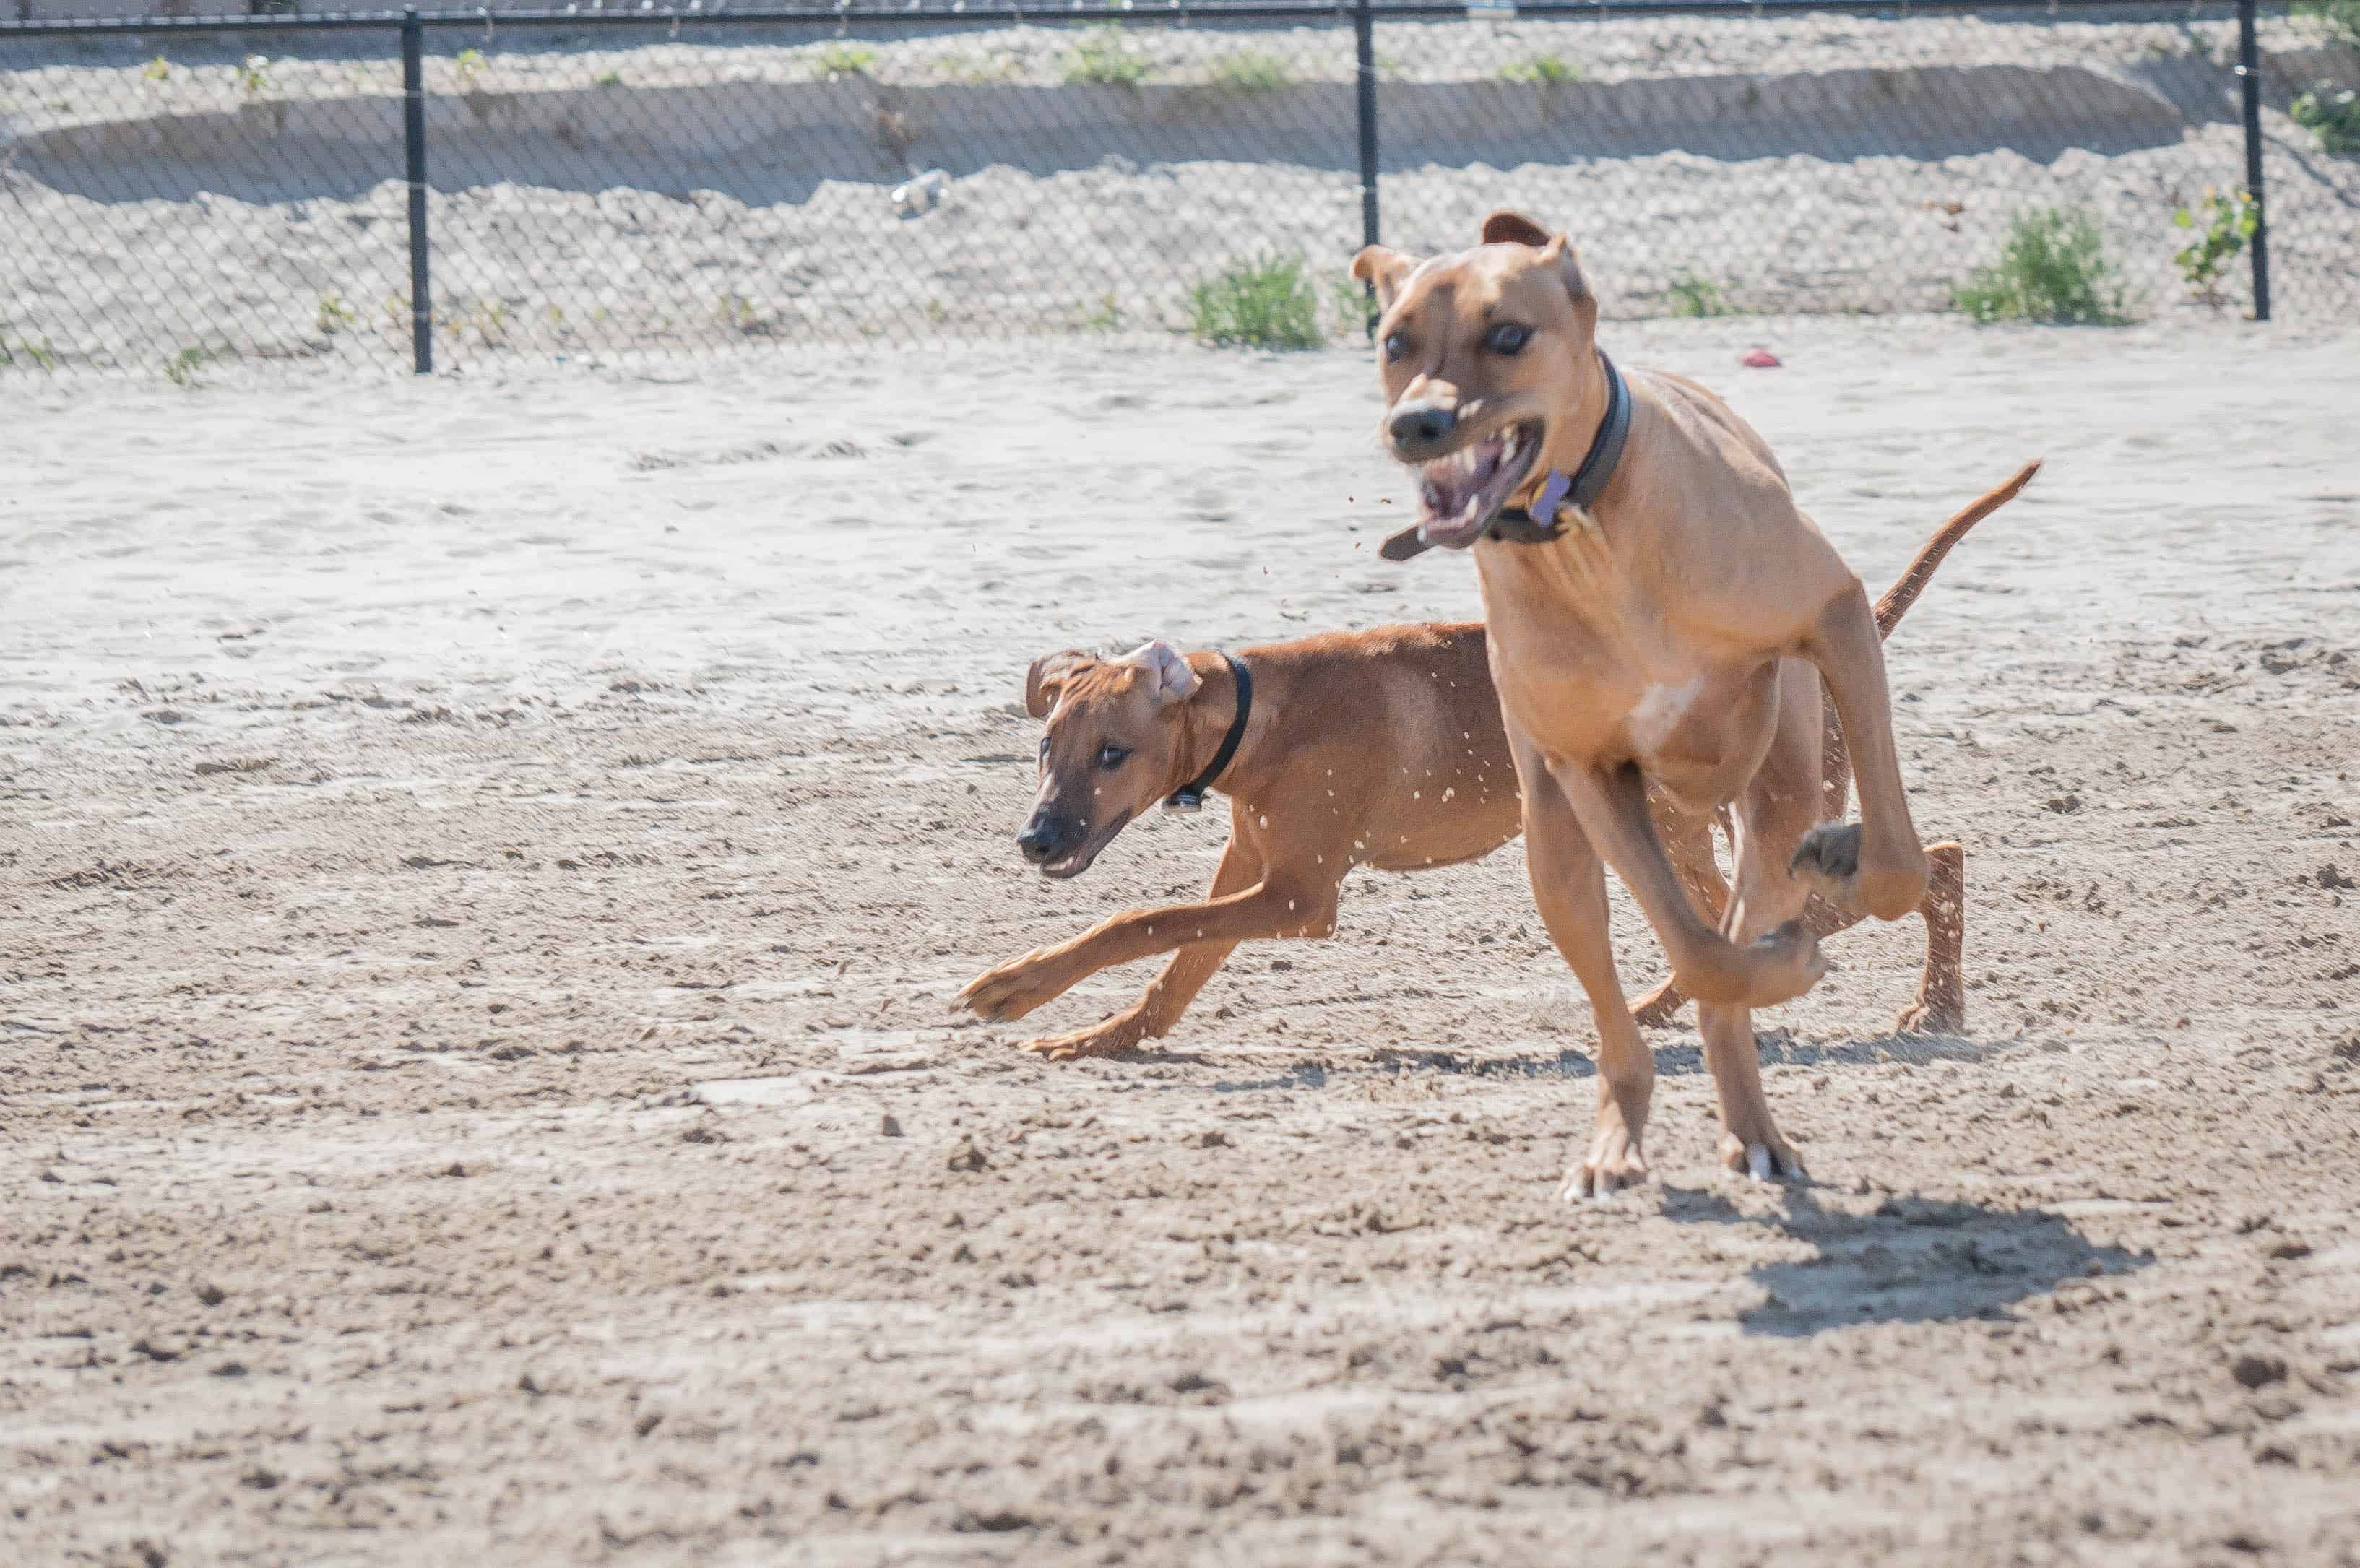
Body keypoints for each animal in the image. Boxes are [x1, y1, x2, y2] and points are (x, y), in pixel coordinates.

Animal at [953, 459, 2029, 1070]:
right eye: (1045, 746)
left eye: (1113, 753)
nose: (1035, 838)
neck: (1264, 712)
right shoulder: (1249, 869)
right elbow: (1175, 967)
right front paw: (1103, 1035)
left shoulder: (1299, 896)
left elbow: (1136, 919)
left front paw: (1014, 984)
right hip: (1683, 824)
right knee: (1843, 888)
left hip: (1728, 816)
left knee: (1898, 874)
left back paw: (1908, 996)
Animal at [1359, 207, 2039, 1197]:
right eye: (1395, 340)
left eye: (1509, 334)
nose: (1418, 422)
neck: (1590, 534)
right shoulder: (1590, 769)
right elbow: (1702, 950)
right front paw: (1773, 968)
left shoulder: (1837, 618)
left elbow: (1895, 862)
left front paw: (1850, 873)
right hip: (1562, 839)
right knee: (1658, 982)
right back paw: (1653, 1126)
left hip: (1781, 779)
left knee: (1822, 875)